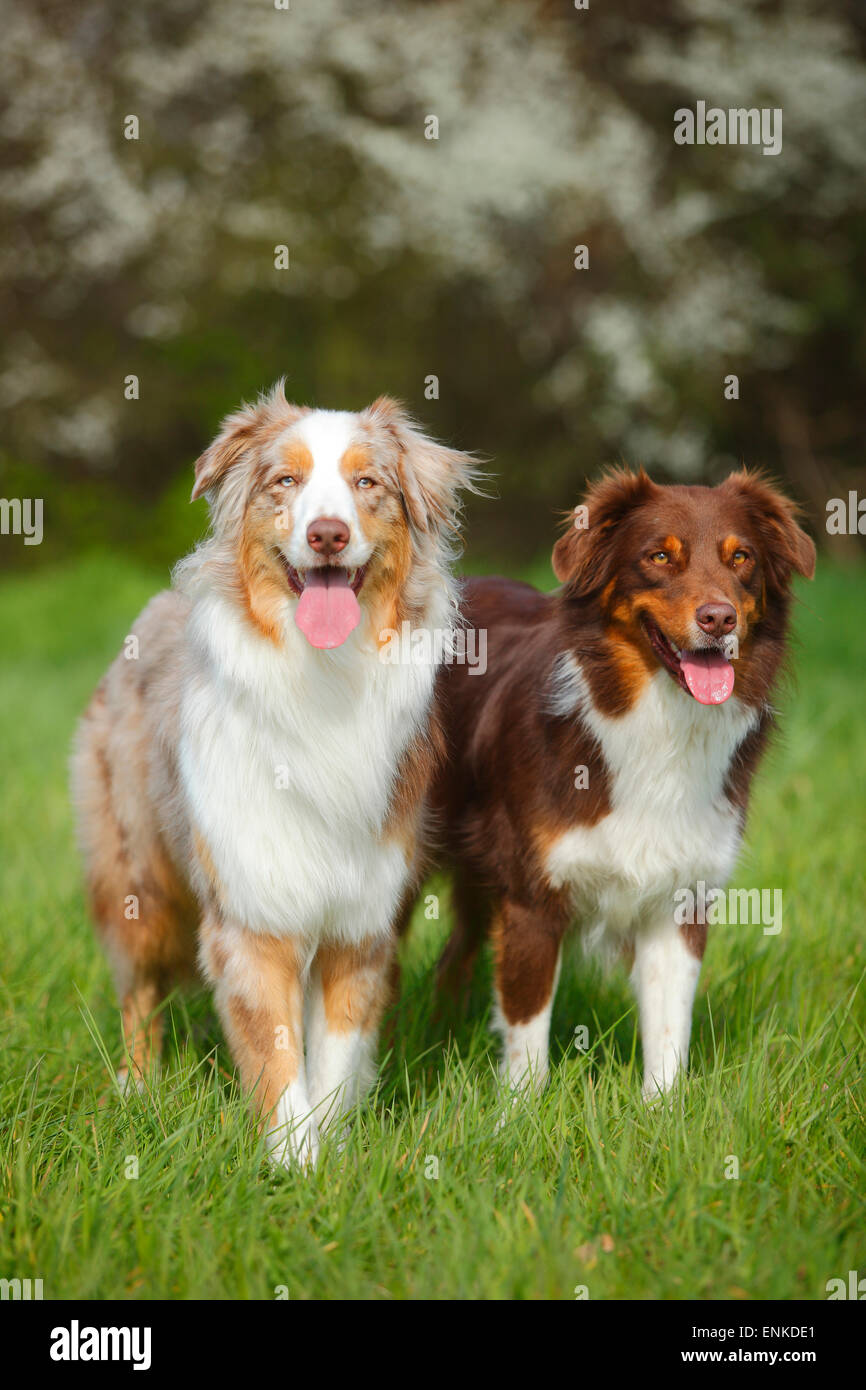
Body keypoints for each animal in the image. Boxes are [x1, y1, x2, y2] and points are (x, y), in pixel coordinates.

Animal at [72, 380, 480, 1162]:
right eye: (285, 482)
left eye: (367, 483)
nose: (327, 535)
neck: (324, 675)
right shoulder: (253, 912)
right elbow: (277, 1055)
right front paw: (294, 1163)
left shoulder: (360, 923)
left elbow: (335, 1060)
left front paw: (333, 1154)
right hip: (138, 873)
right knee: (140, 986)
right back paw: (137, 1085)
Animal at [430, 472, 817, 1100]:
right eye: (658, 557)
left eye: (742, 558)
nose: (719, 619)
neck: (657, 720)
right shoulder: (531, 895)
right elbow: (527, 1031)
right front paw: (519, 1112)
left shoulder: (681, 896)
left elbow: (669, 1027)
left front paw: (663, 1112)